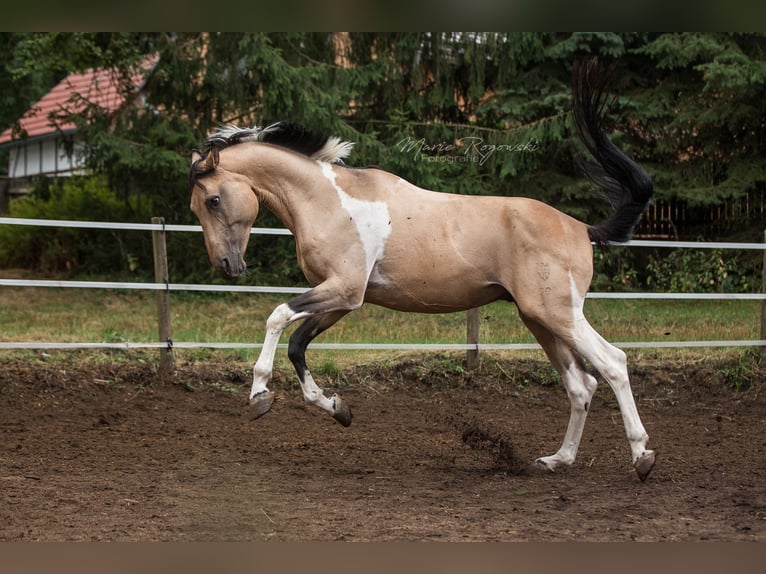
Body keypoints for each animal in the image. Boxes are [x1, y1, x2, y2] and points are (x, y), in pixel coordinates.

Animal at [189, 59, 657, 481]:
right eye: (197, 207)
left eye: (213, 200)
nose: (228, 266)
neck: (326, 200)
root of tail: (581, 228)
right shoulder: (343, 299)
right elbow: (298, 345)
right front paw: (338, 409)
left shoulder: (343, 289)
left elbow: (277, 317)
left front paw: (259, 395)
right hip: (538, 319)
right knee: (581, 384)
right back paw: (558, 460)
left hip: (559, 314)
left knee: (613, 364)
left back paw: (642, 458)